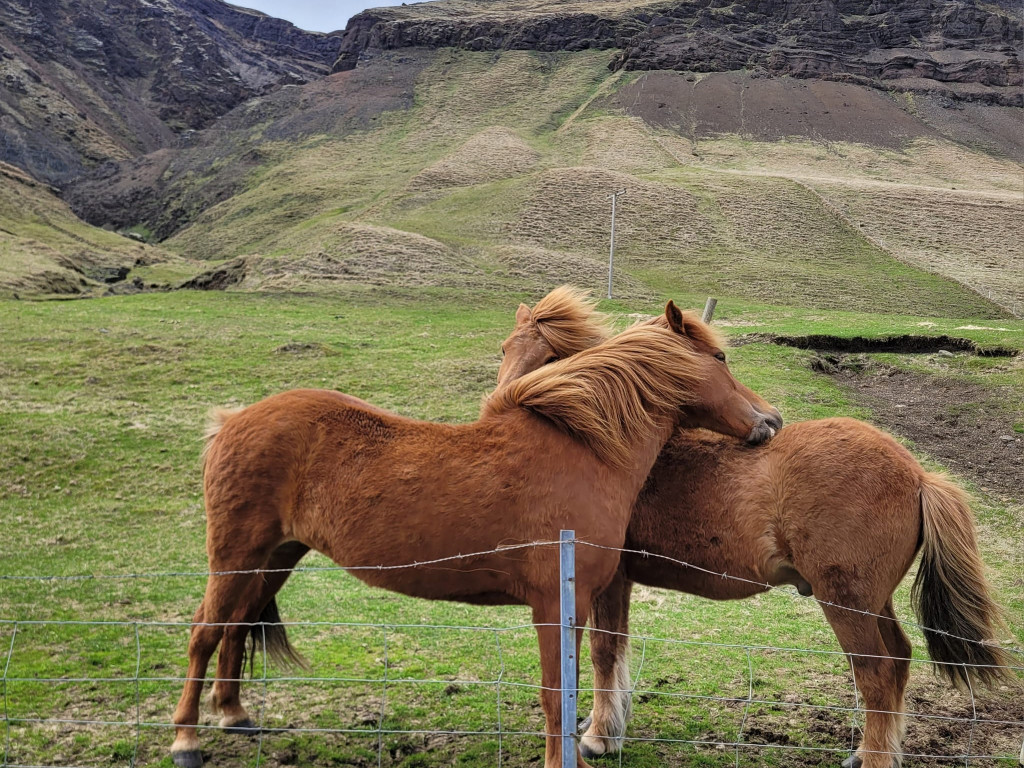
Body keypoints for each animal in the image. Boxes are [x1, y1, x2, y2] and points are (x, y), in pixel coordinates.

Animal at [167, 301, 778, 768]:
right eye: (720, 357)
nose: (769, 420)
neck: (584, 450)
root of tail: (234, 420)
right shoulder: (557, 604)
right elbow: (558, 696)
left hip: (274, 557)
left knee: (235, 625)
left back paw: (235, 715)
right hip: (235, 555)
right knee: (203, 631)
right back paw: (186, 741)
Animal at [497, 286, 1015, 768]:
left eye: (543, 359)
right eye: (504, 348)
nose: (501, 401)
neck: (610, 446)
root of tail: (918, 475)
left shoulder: (608, 580)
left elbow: (604, 651)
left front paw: (599, 736)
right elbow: (617, 649)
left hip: (846, 604)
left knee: (877, 674)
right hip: (873, 601)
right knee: (900, 658)